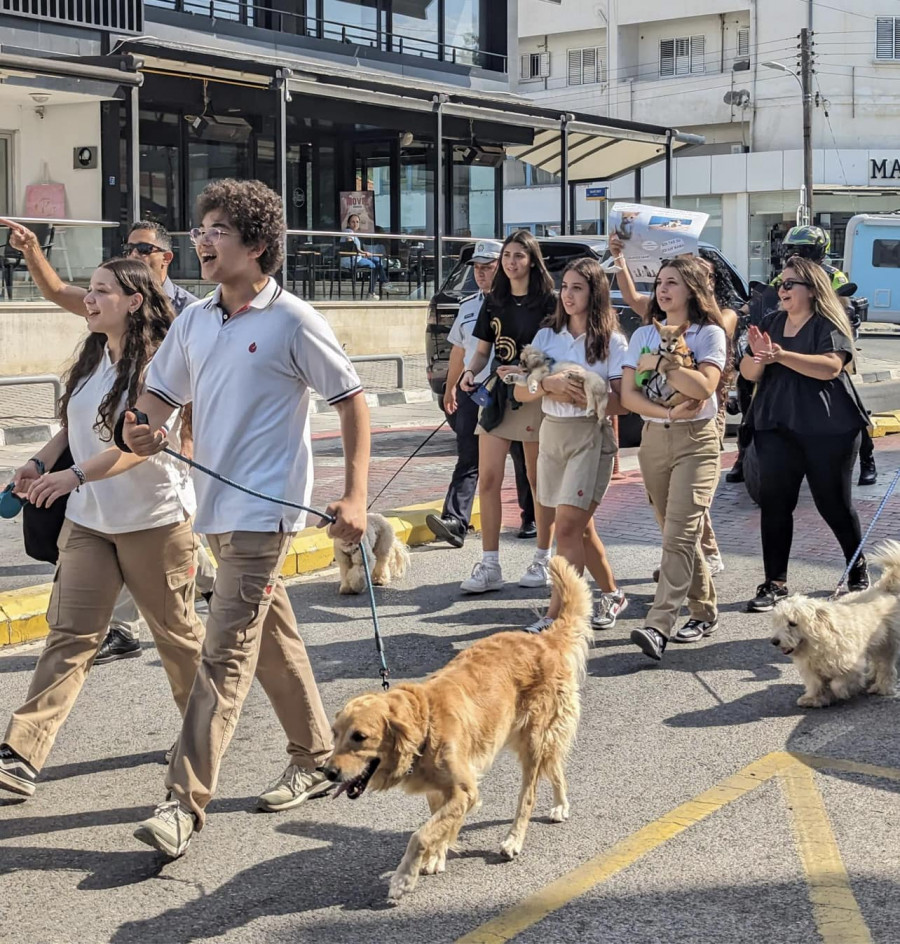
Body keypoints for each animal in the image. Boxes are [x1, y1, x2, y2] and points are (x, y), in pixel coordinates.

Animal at [768, 544, 900, 704]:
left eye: (792, 623)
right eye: (777, 622)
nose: (774, 641)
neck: (819, 643)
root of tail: (882, 589)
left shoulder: (851, 664)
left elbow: (838, 683)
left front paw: (842, 691)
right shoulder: (811, 668)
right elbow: (815, 683)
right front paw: (812, 698)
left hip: (887, 644)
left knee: (886, 667)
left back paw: (882, 687)